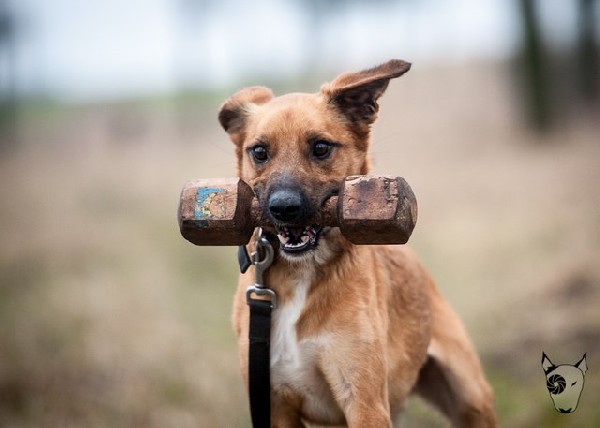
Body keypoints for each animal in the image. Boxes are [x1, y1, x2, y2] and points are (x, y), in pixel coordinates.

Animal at [218, 60, 494, 428]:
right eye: (259, 152)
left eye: (321, 147)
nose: (283, 207)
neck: (301, 275)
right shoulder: (274, 403)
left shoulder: (365, 403)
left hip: (471, 399)